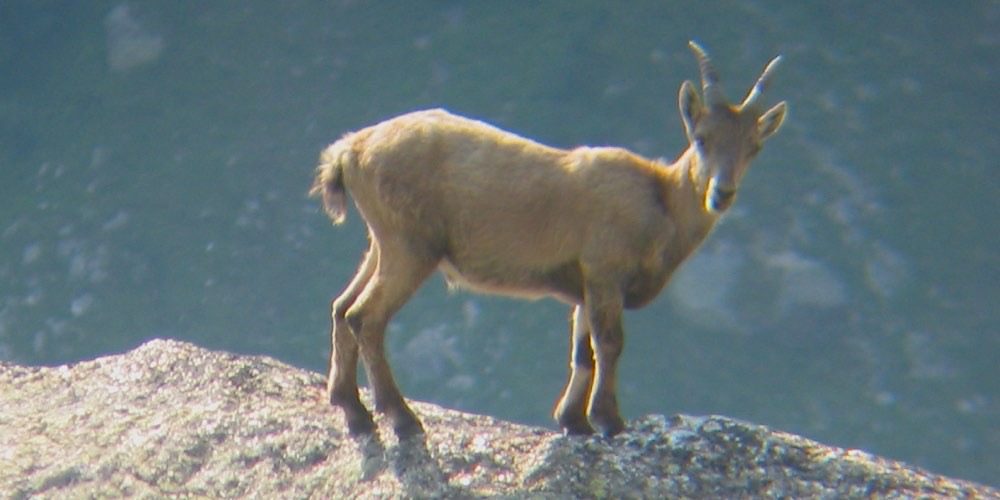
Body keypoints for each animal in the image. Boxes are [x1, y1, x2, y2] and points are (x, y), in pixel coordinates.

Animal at [310, 41, 787, 438]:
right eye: (701, 139)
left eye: (753, 147)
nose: (721, 194)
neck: (661, 199)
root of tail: (351, 149)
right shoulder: (605, 271)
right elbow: (609, 345)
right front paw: (609, 420)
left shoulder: (585, 284)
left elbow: (581, 350)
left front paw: (573, 420)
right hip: (410, 247)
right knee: (365, 316)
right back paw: (400, 418)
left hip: (383, 241)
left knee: (341, 306)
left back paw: (351, 408)